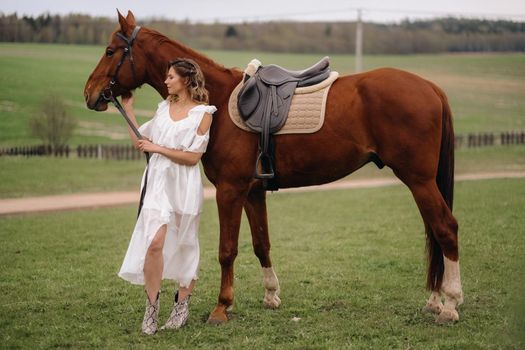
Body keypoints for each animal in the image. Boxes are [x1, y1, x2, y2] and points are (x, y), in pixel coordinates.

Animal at [85, 8, 462, 326]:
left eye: (109, 51)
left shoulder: (229, 191)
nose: (90, 93)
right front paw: (271, 296)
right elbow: (261, 243)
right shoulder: (253, 192)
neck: (217, 100)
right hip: (421, 181)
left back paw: (450, 304)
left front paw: (222, 307)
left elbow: (227, 250)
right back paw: (434, 300)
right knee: (433, 230)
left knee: (445, 228)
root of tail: (432, 87)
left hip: (419, 180)